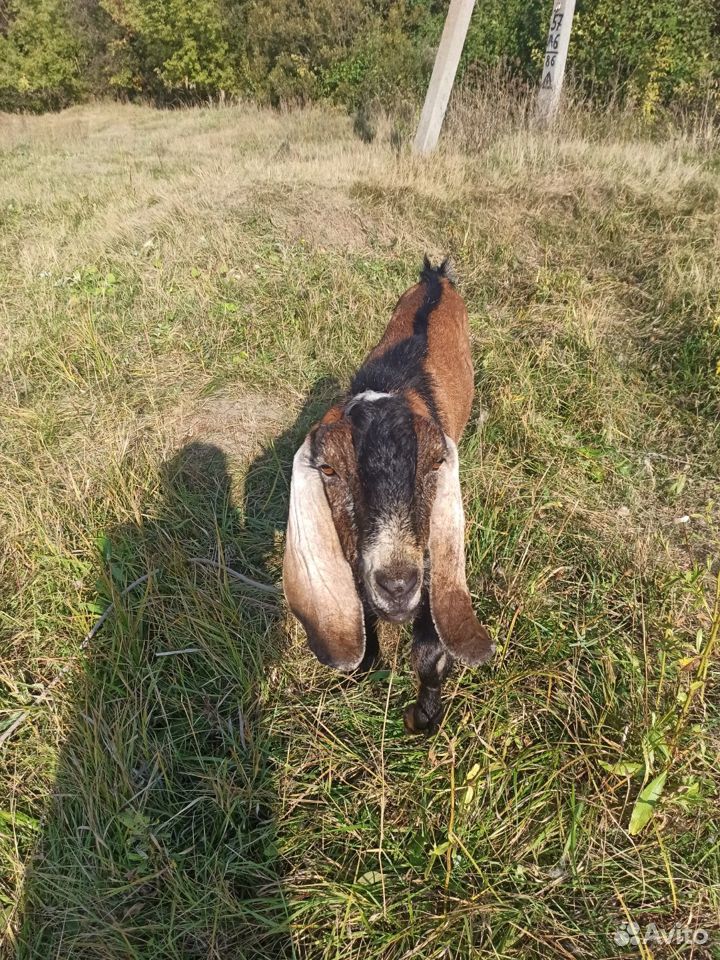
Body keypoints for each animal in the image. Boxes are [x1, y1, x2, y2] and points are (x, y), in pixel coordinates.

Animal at [284, 258, 492, 732]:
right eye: (329, 469)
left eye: (435, 463)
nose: (397, 585)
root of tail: (436, 277)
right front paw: (362, 670)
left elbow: (430, 654)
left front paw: (422, 718)